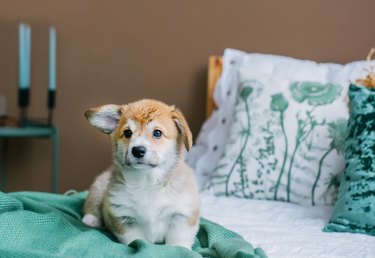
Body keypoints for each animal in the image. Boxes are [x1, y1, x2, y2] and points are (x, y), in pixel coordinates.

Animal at [81, 99, 200, 248]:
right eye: (127, 133)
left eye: (157, 133)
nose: (137, 150)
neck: (147, 180)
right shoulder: (123, 216)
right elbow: (136, 240)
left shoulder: (182, 214)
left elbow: (177, 241)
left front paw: (179, 249)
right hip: (99, 187)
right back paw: (90, 219)